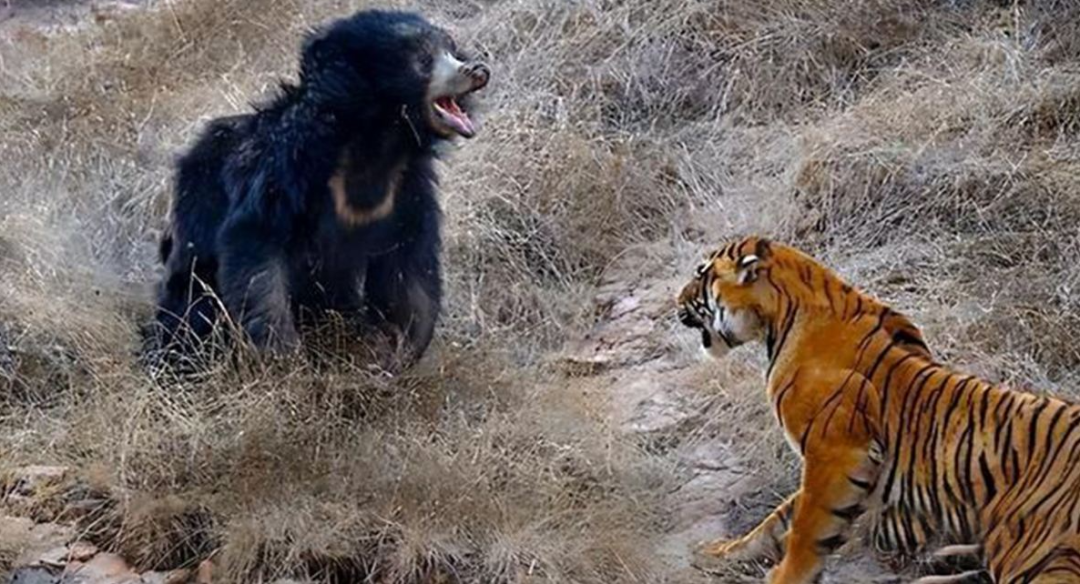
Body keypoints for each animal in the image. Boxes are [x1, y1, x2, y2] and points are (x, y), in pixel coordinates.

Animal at [147, 10, 490, 367]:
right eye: (423, 59)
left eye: (450, 50)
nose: (479, 70)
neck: (377, 143)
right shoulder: (286, 170)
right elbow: (257, 248)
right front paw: (282, 354)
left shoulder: (409, 190)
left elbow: (409, 271)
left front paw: (399, 351)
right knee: (192, 310)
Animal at [677, 236, 1080, 584]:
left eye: (701, 274)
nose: (676, 300)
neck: (782, 316)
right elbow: (777, 520)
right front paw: (720, 552)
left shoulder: (837, 453)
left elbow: (807, 528)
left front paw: (785, 577)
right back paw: (942, 559)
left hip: (1034, 553)